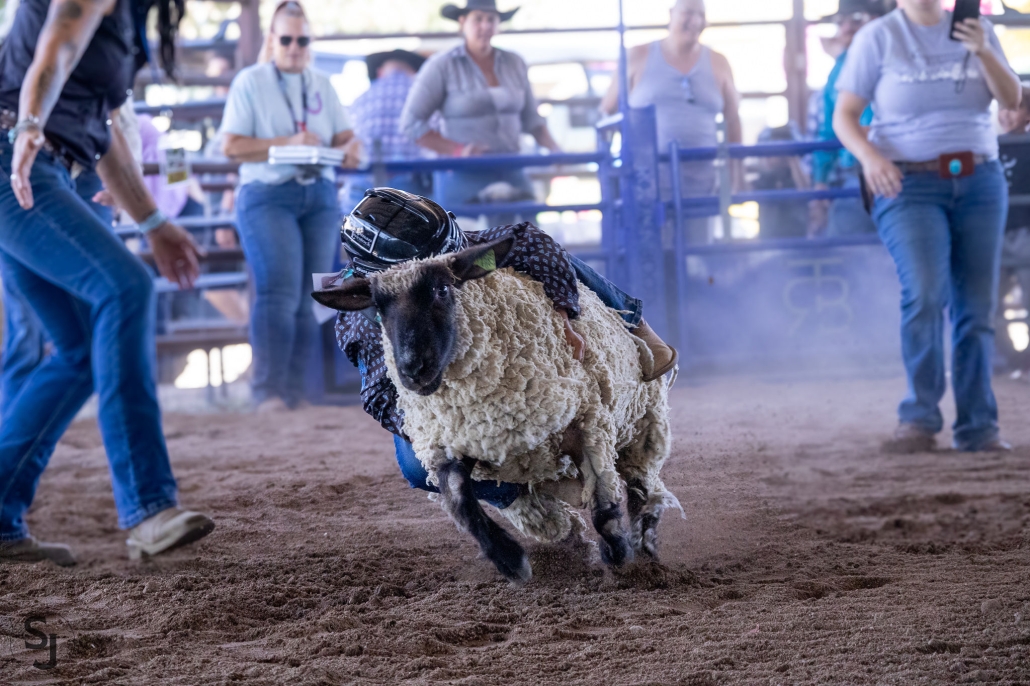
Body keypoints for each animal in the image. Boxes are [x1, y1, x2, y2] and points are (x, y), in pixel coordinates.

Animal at [312, 237, 679, 581]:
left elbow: (603, 502)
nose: (413, 369)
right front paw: (510, 560)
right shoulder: (452, 442)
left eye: (442, 289)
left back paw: (643, 542)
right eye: (377, 308)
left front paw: (618, 551)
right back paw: (567, 536)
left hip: (642, 423)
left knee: (640, 486)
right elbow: (462, 504)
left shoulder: (586, 420)